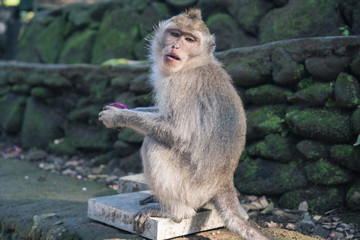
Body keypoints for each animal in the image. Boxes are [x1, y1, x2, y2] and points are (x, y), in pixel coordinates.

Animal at [98, 8, 270, 240]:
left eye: (189, 40)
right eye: (175, 34)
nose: (176, 46)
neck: (194, 63)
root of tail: (224, 183)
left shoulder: (182, 85)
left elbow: (178, 133)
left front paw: (117, 117)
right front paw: (123, 111)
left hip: (193, 190)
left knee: (154, 144)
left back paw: (173, 210)